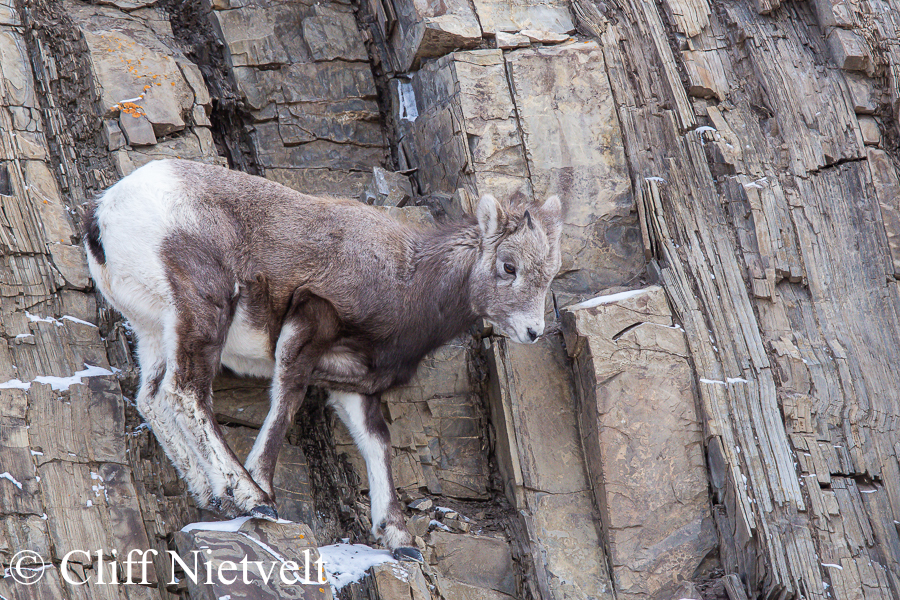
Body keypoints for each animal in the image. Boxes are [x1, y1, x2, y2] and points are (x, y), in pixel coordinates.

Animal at [84, 157, 564, 560]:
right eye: (508, 266)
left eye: (550, 273)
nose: (533, 332)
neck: (406, 281)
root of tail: (106, 212)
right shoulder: (310, 322)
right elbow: (286, 403)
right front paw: (262, 493)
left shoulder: (353, 383)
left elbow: (377, 443)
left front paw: (399, 539)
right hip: (203, 313)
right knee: (185, 393)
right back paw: (248, 495)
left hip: (154, 332)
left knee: (152, 399)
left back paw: (213, 494)